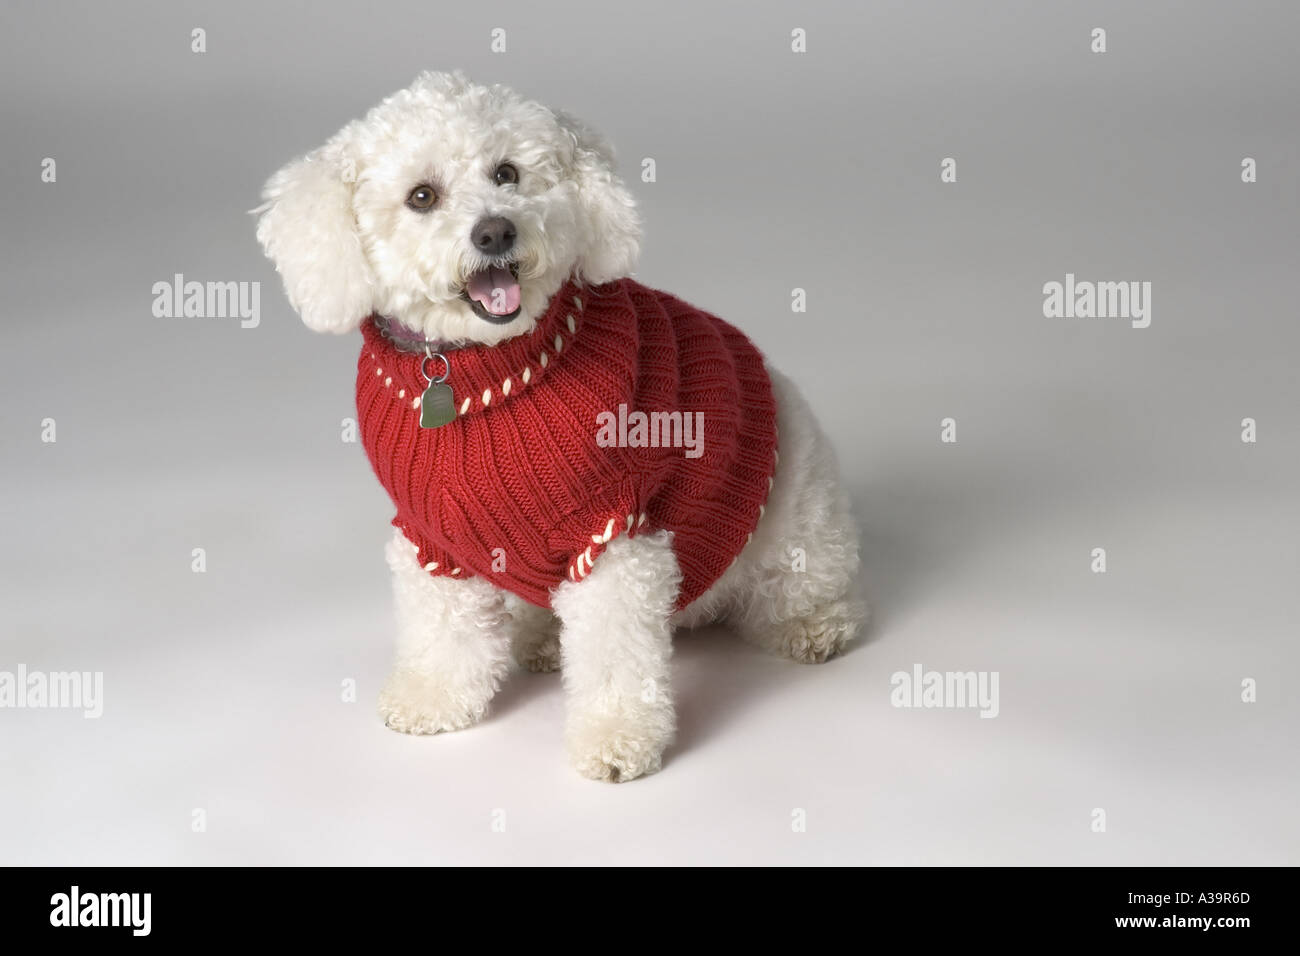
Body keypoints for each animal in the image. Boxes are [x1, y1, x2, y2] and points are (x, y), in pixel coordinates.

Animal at [256, 70, 863, 780]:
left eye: (507, 173)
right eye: (422, 196)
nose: (495, 232)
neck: (472, 374)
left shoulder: (612, 537)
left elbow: (613, 658)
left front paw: (616, 736)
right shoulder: (431, 536)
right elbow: (442, 629)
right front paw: (433, 696)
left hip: (798, 526)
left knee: (808, 590)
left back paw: (814, 627)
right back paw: (541, 637)